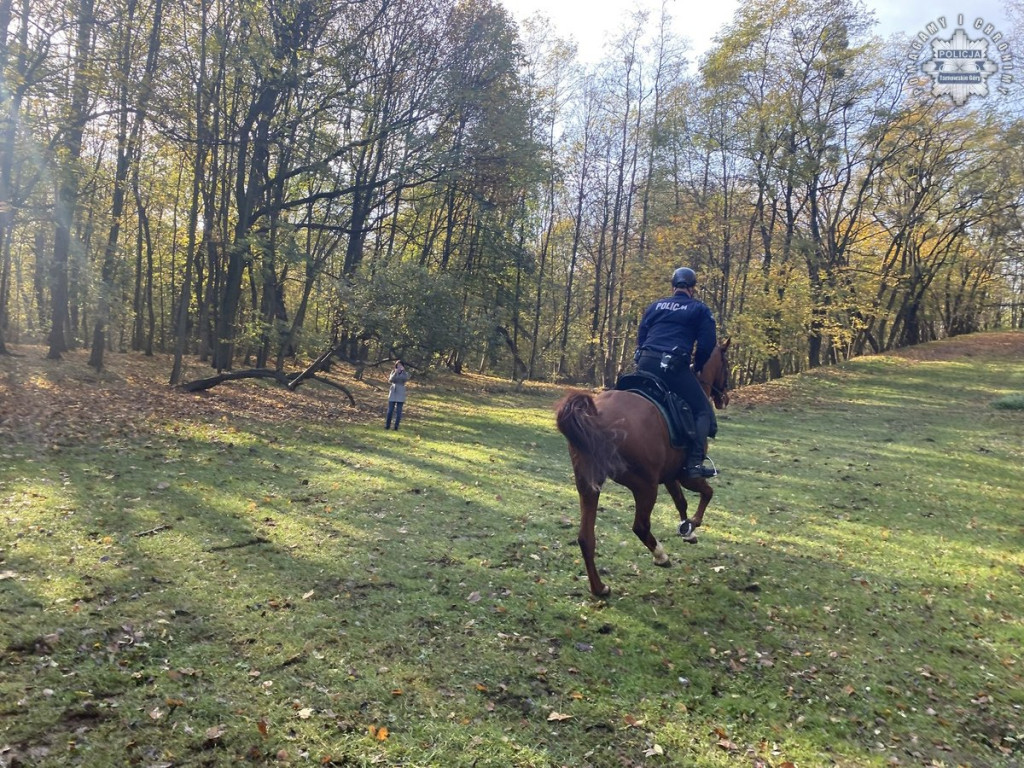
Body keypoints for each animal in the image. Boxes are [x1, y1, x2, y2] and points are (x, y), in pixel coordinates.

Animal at [561, 339, 729, 598]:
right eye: (727, 365)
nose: (725, 398)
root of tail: (595, 415)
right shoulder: (686, 475)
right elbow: (707, 493)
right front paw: (693, 524)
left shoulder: (670, 475)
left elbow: (681, 502)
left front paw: (687, 529)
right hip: (644, 486)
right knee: (640, 526)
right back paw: (661, 556)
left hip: (588, 485)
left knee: (586, 538)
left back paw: (599, 588)